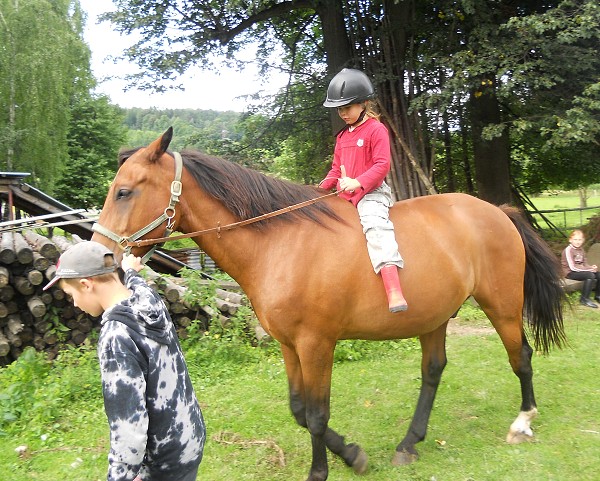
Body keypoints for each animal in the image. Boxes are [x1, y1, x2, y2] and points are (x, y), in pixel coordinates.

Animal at [91, 127, 564, 480]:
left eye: (124, 192)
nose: (101, 256)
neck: (280, 242)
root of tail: (497, 212)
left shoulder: (317, 344)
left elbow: (317, 414)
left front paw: (323, 470)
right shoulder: (289, 346)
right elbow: (300, 410)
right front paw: (352, 454)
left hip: (502, 305)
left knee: (521, 356)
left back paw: (523, 421)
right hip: (434, 318)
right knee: (433, 372)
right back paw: (410, 443)